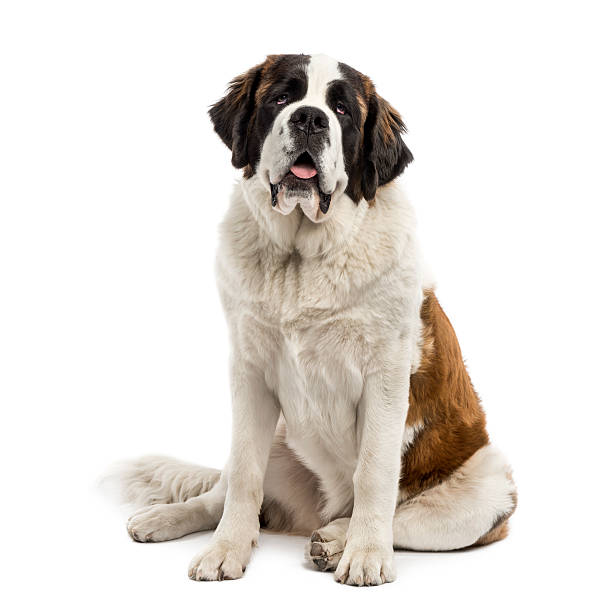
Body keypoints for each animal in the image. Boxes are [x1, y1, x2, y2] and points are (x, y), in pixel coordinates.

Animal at [115, 55, 516, 584]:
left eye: (342, 109)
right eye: (281, 98)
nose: (310, 118)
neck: (301, 254)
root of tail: (319, 511)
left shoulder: (386, 379)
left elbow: (375, 474)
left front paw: (365, 555)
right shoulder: (249, 371)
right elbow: (244, 474)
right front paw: (225, 549)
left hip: (491, 487)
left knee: (405, 516)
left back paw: (336, 538)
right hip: (282, 439)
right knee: (225, 489)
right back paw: (165, 518)